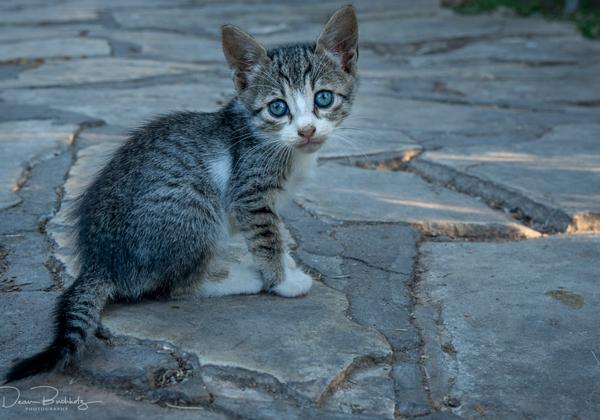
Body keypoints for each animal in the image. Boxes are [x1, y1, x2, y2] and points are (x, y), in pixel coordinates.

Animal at [4, 4, 358, 382]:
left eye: (323, 98)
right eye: (278, 107)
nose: (307, 130)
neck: (270, 139)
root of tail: (100, 263)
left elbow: (275, 232)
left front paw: (286, 265)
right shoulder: (249, 193)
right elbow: (267, 238)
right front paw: (281, 280)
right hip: (195, 208)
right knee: (174, 287)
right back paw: (239, 279)